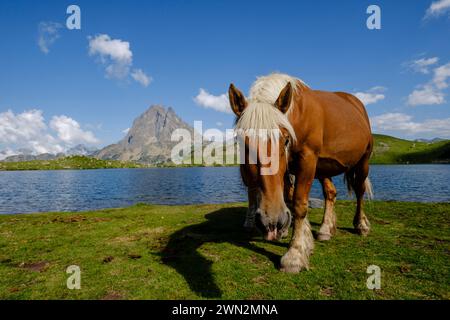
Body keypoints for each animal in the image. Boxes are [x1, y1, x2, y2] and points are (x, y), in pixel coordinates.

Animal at [229, 73, 372, 272]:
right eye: (243, 143)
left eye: (285, 140)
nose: (271, 221)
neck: (297, 115)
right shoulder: (289, 170)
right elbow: (290, 198)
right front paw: (304, 240)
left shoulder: (307, 159)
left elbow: (299, 204)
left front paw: (294, 254)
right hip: (323, 168)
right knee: (330, 192)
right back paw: (325, 229)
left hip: (363, 160)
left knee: (359, 190)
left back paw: (361, 224)